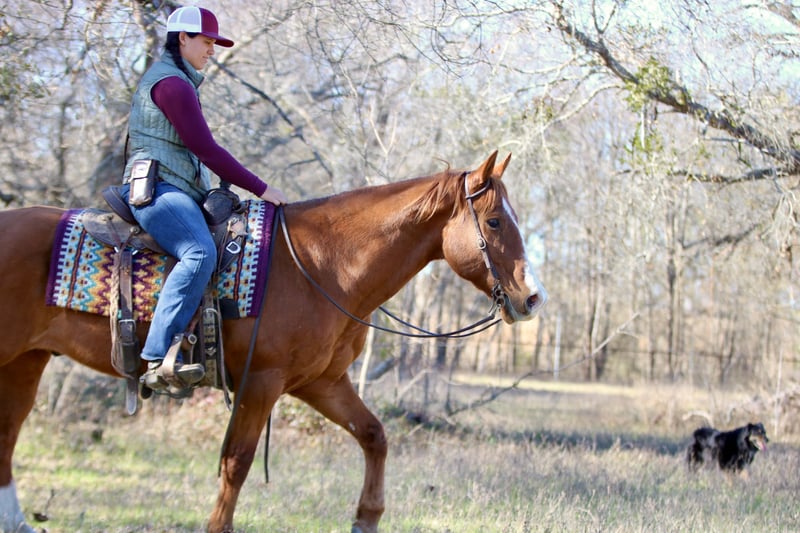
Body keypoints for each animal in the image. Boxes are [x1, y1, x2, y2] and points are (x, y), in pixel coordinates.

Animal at [0, 150, 546, 533]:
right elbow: (237, 463)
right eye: (495, 221)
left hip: (26, 361)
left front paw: (366, 517)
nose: (532, 298)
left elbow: (374, 435)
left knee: (9, 433)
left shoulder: (322, 383)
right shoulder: (260, 383)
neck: (323, 264)